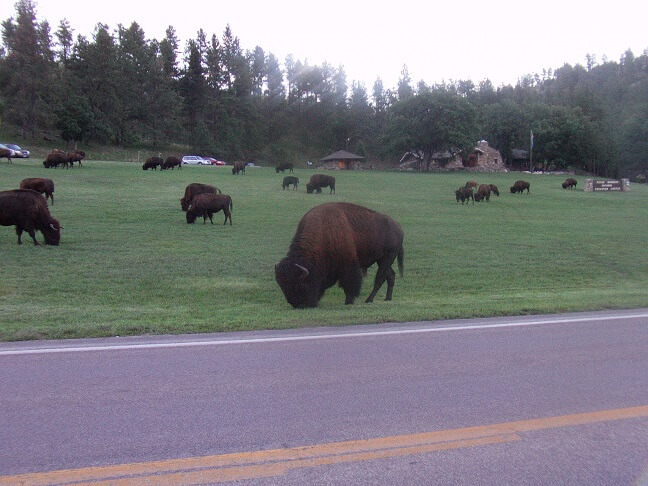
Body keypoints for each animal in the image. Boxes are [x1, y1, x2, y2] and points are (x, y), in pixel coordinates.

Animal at [274, 201, 404, 308]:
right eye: (283, 287)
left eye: (300, 285)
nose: (299, 305)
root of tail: (398, 227)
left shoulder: (349, 265)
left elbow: (349, 283)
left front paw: (348, 301)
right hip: (382, 260)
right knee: (390, 276)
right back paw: (387, 299)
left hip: (387, 257)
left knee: (380, 278)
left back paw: (369, 300)